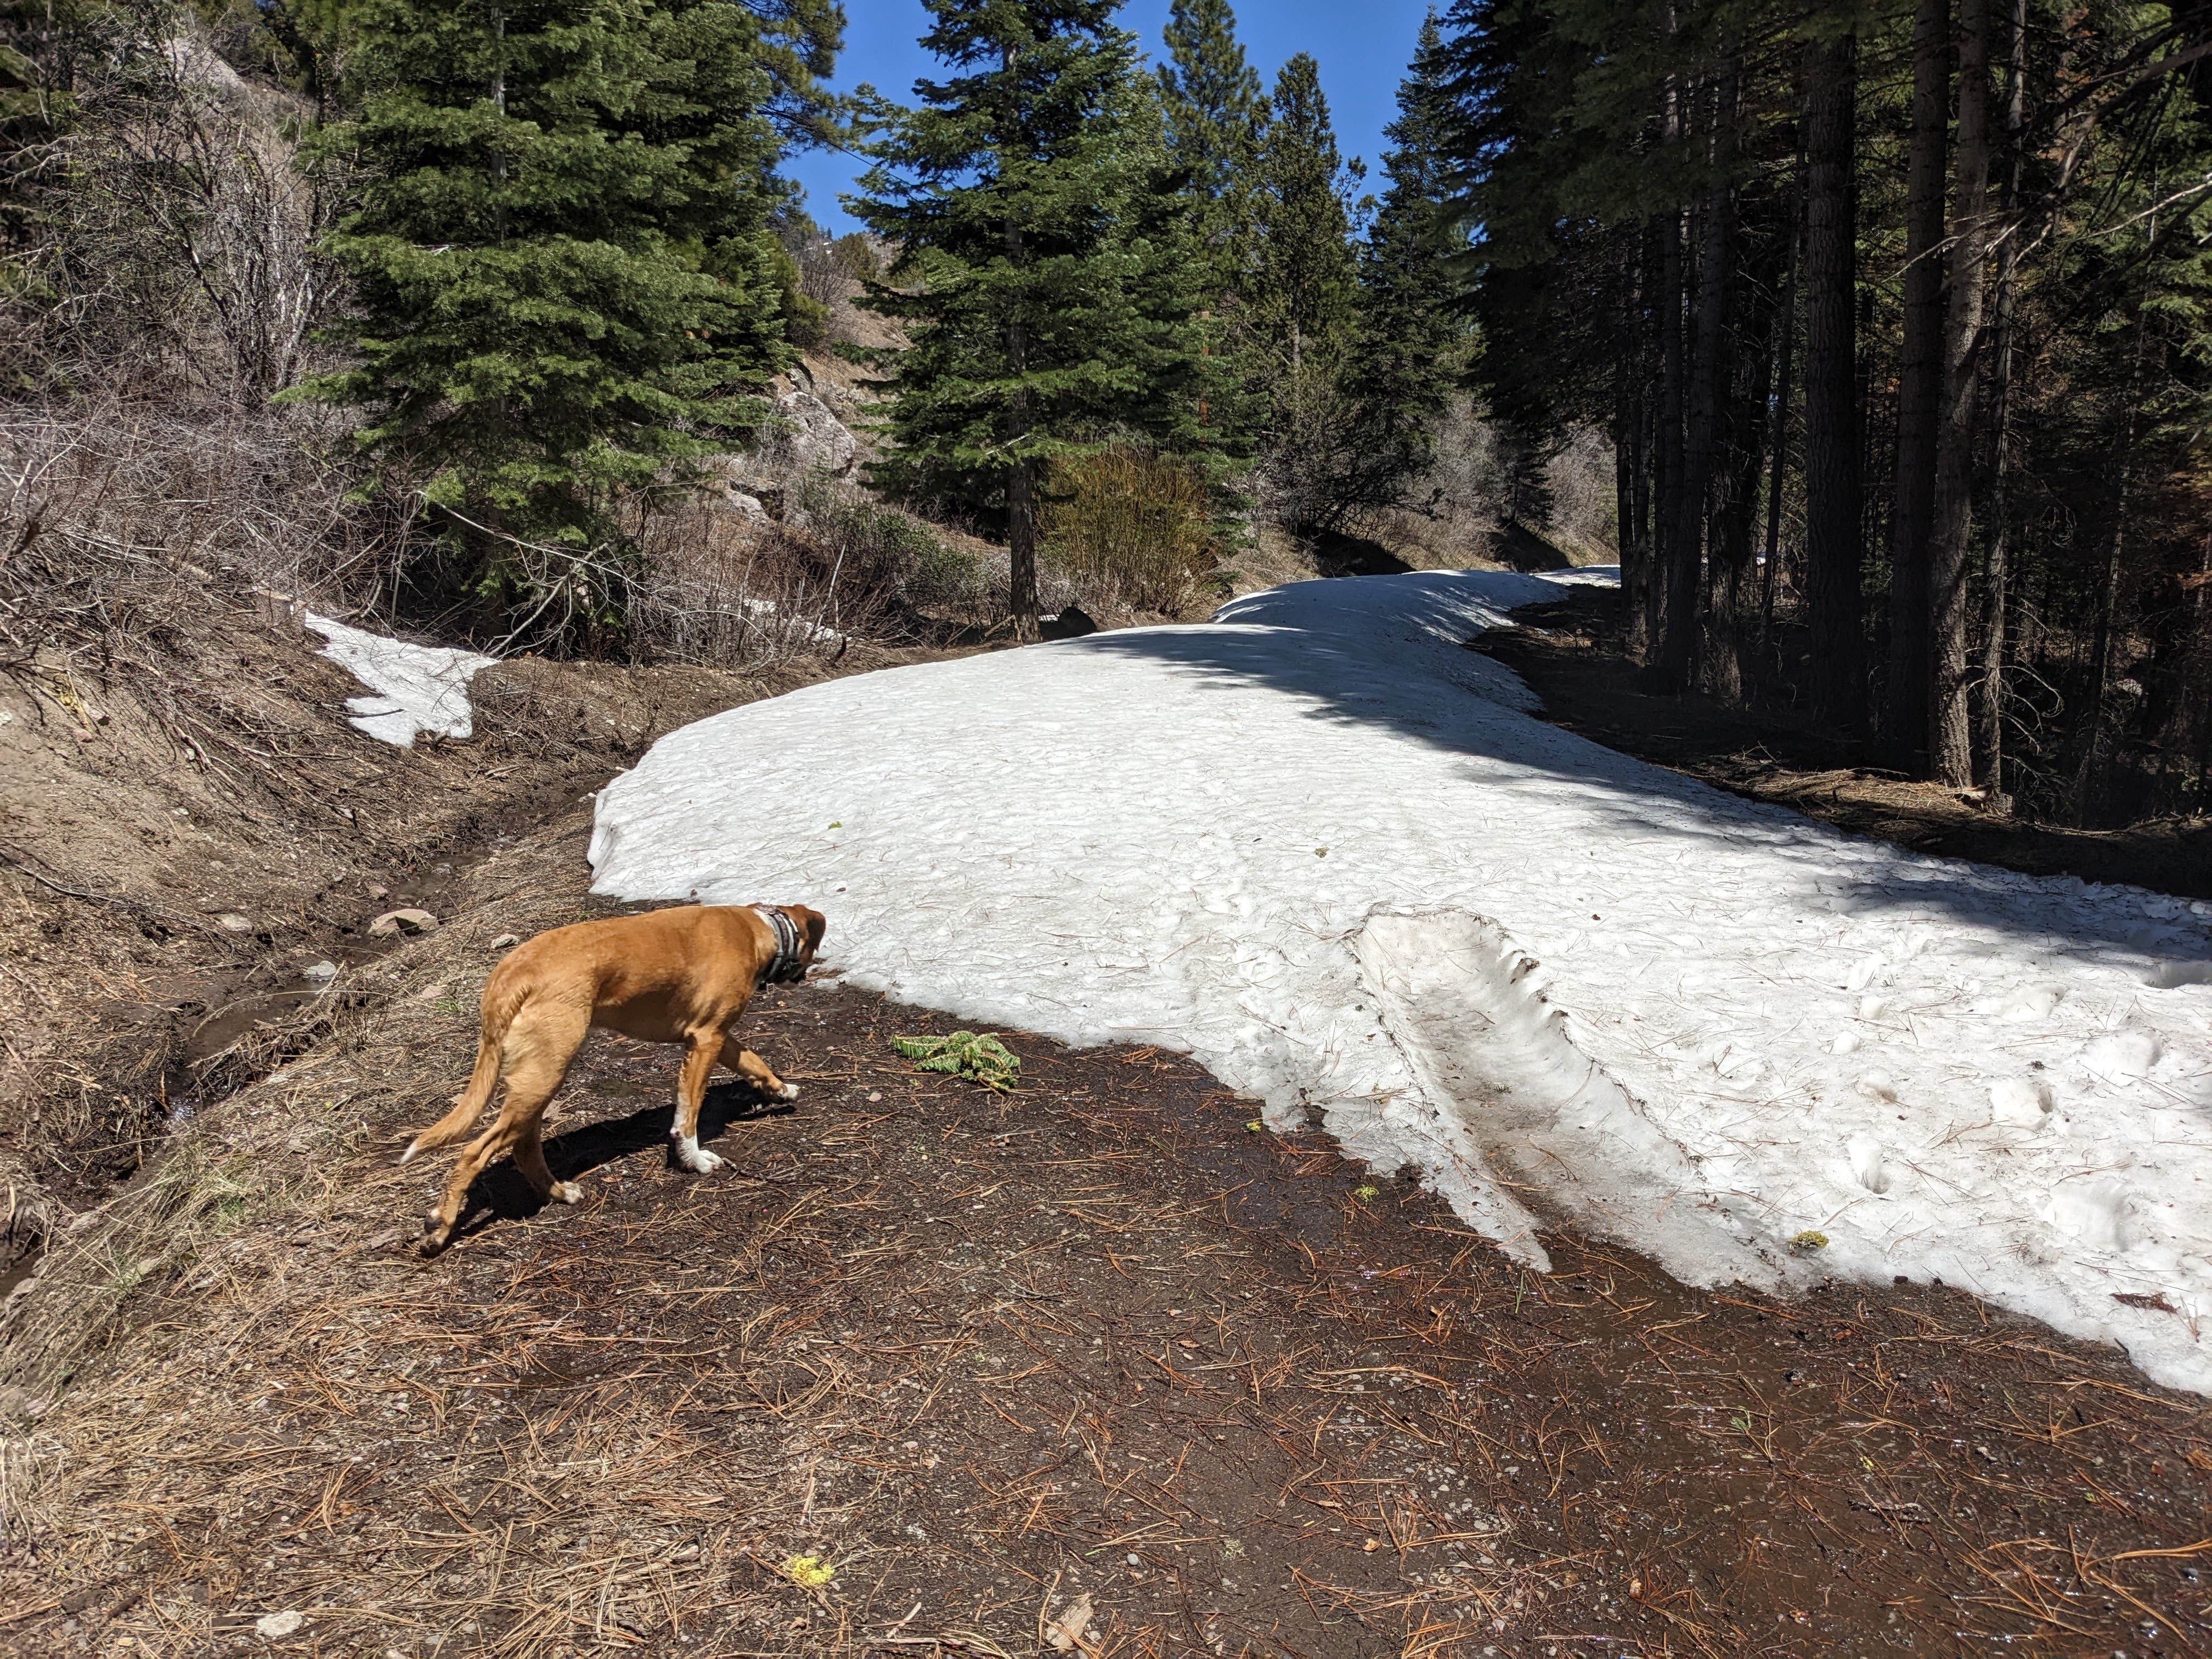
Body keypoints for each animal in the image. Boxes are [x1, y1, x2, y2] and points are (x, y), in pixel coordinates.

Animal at [398, 902, 822, 1256]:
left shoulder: (717, 1037)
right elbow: (688, 1113)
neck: (758, 929)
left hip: (540, 1079)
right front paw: (695, 1160)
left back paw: (558, 1194)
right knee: (474, 1153)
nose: (805, 977)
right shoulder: (705, 1040)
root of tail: (508, 977)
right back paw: (440, 1230)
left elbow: (755, 1062)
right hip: (546, 1074)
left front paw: (781, 1089)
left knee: (523, 1146)